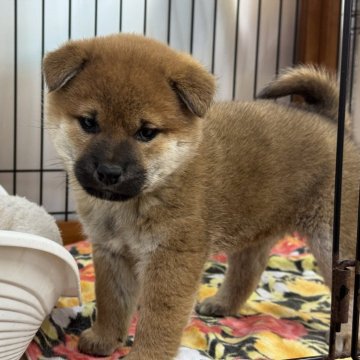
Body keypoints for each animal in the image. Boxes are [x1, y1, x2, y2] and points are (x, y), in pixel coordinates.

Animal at [43, 33, 358, 358]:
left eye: (146, 132)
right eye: (89, 122)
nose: (109, 171)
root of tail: (330, 121)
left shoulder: (171, 258)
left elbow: (159, 320)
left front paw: (145, 354)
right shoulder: (111, 252)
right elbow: (112, 303)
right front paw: (104, 338)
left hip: (332, 241)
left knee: (346, 291)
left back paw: (344, 338)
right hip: (256, 230)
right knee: (248, 271)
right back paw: (222, 303)